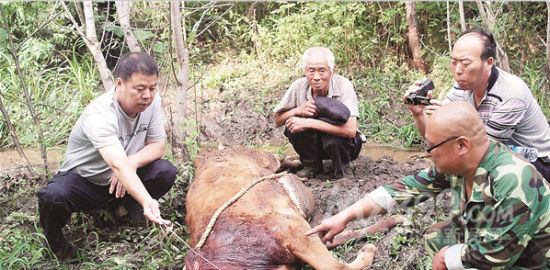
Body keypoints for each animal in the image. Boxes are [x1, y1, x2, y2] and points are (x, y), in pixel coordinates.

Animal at [185, 148, 396, 270]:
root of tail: (204, 155)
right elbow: (341, 240)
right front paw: (392, 223)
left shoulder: (294, 229)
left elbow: (336, 266)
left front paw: (371, 245)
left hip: (260, 155)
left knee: (277, 156)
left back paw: (297, 161)